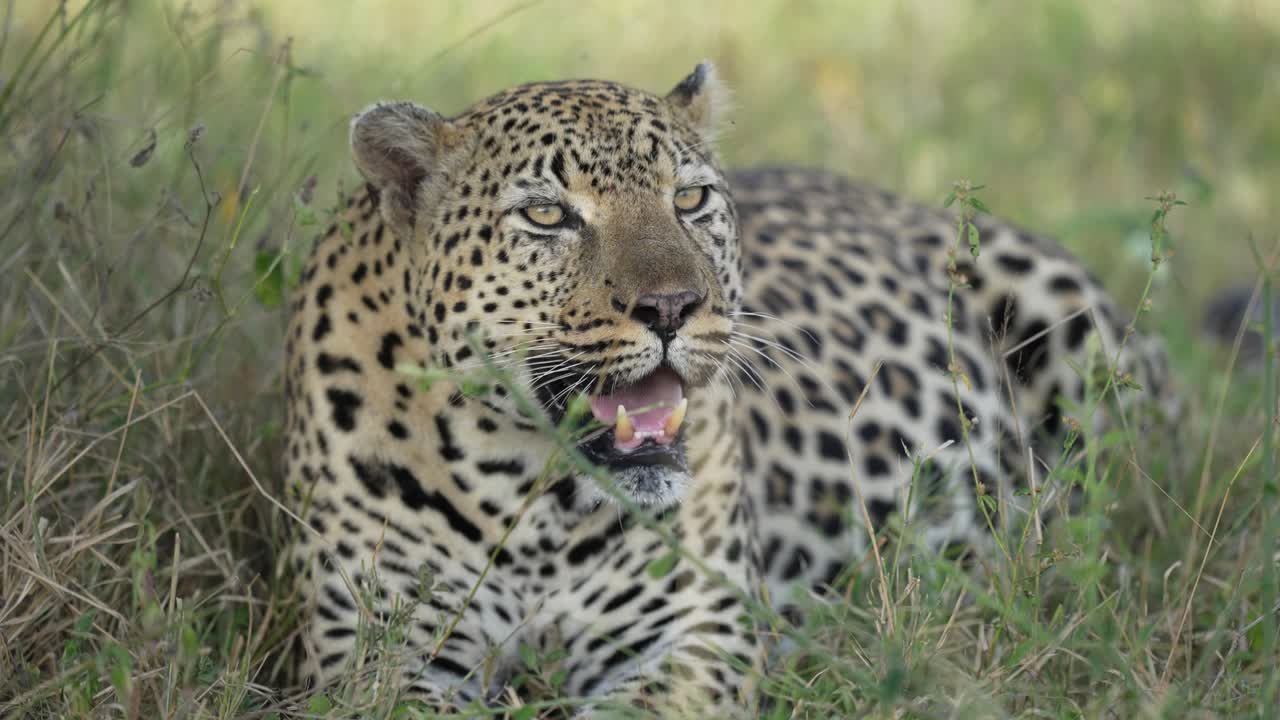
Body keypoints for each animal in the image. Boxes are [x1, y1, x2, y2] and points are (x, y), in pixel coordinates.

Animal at [282, 63, 1172, 716]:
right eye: (546, 216)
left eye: (690, 198)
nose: (674, 306)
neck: (529, 496)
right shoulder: (376, 647)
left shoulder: (694, 638)